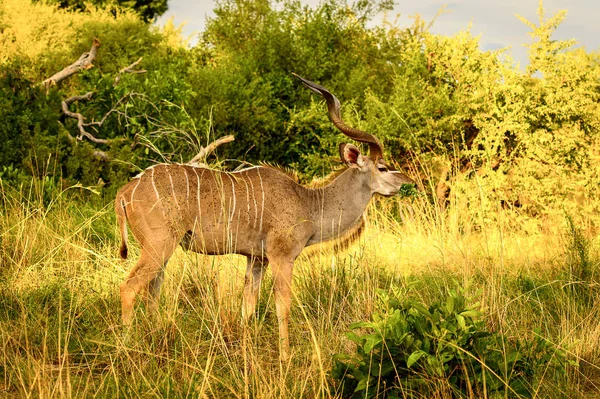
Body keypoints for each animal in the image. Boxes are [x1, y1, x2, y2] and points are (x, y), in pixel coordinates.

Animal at [115, 75, 414, 360]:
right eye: (382, 167)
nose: (406, 183)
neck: (309, 203)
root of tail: (126, 191)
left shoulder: (257, 259)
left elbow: (248, 305)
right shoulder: (282, 256)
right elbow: (283, 305)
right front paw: (285, 357)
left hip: (163, 252)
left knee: (153, 292)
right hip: (158, 246)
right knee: (129, 288)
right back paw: (127, 346)